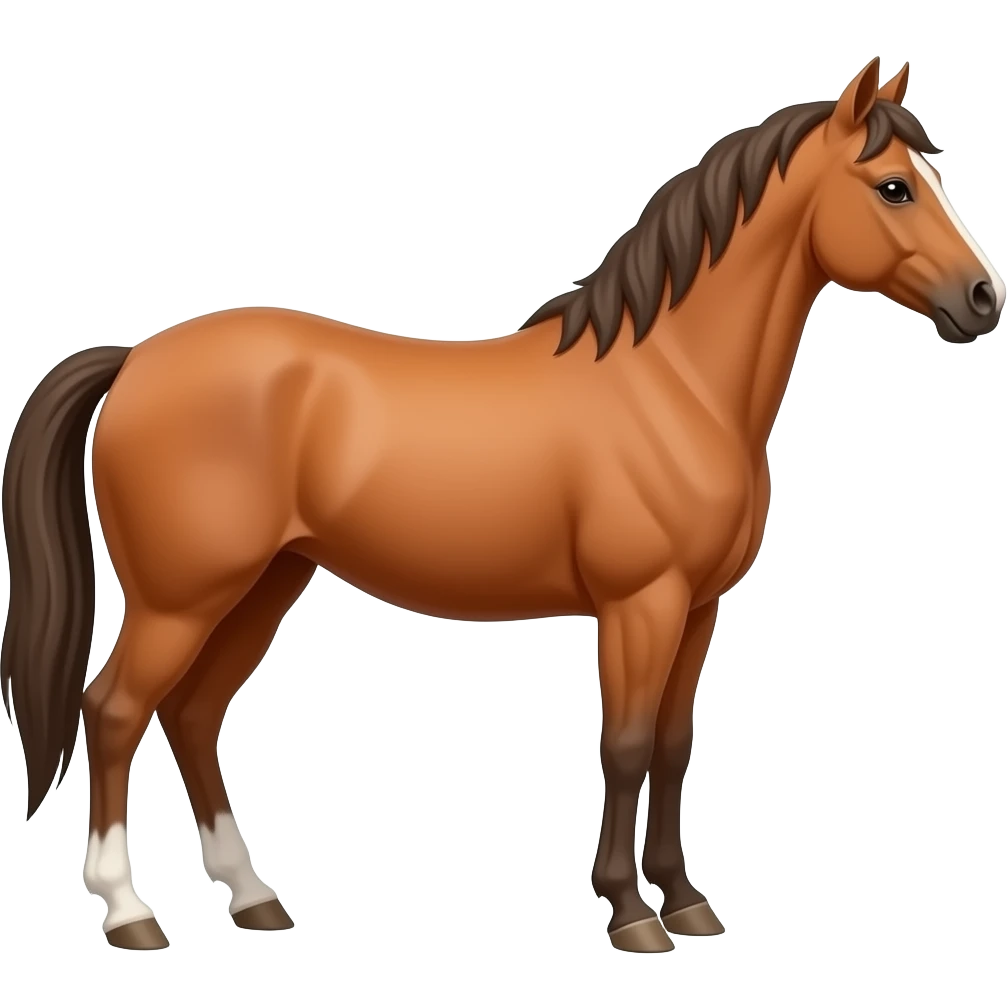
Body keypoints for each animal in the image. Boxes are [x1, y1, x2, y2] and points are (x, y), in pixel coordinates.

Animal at [1, 56, 1002, 953]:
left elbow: (673, 747)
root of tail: (136, 358)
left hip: (265, 583)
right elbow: (626, 746)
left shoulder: (699, 609)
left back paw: (255, 902)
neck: (672, 383)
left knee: (194, 715)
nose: (982, 298)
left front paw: (686, 902)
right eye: (893, 187)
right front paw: (631, 914)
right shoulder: (640, 604)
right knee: (114, 713)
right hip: (182, 598)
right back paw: (130, 915)